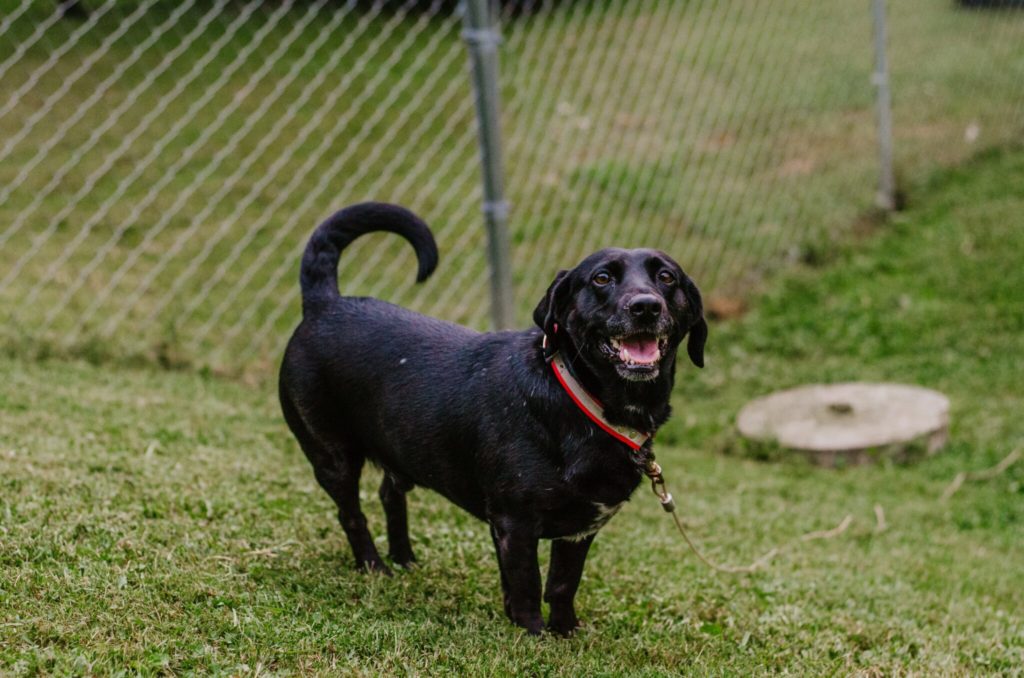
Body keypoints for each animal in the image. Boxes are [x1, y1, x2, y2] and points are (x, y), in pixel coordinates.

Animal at [280, 202, 712, 639]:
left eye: (666, 277)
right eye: (602, 278)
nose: (646, 306)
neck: (582, 400)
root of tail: (325, 303)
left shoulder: (578, 531)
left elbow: (562, 584)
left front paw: (565, 632)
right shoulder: (515, 523)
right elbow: (526, 585)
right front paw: (533, 635)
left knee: (390, 493)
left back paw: (405, 559)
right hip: (332, 457)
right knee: (351, 514)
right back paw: (374, 567)